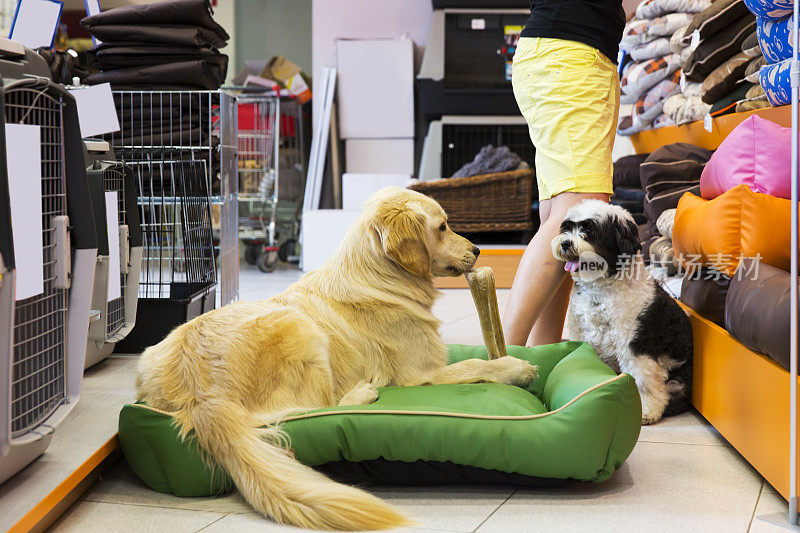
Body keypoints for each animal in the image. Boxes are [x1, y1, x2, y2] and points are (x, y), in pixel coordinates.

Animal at [552, 200, 692, 424]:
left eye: (589, 230)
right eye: (567, 228)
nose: (565, 243)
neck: (600, 289)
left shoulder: (634, 343)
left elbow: (642, 381)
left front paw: (644, 411)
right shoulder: (582, 333)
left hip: (678, 380)